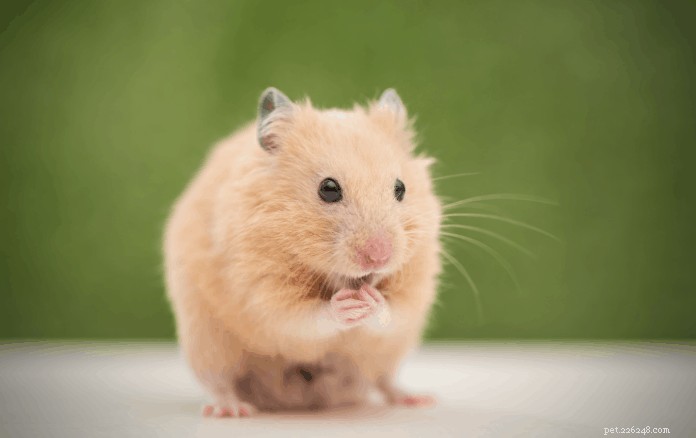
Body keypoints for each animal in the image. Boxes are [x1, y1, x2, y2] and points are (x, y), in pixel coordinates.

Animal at [163, 87, 442, 417]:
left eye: (401, 188)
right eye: (328, 189)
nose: (379, 256)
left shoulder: (415, 288)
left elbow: (393, 312)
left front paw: (371, 301)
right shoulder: (262, 290)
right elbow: (305, 318)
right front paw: (347, 305)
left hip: (387, 354)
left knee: (384, 380)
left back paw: (417, 398)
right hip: (207, 341)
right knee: (218, 381)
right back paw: (232, 409)